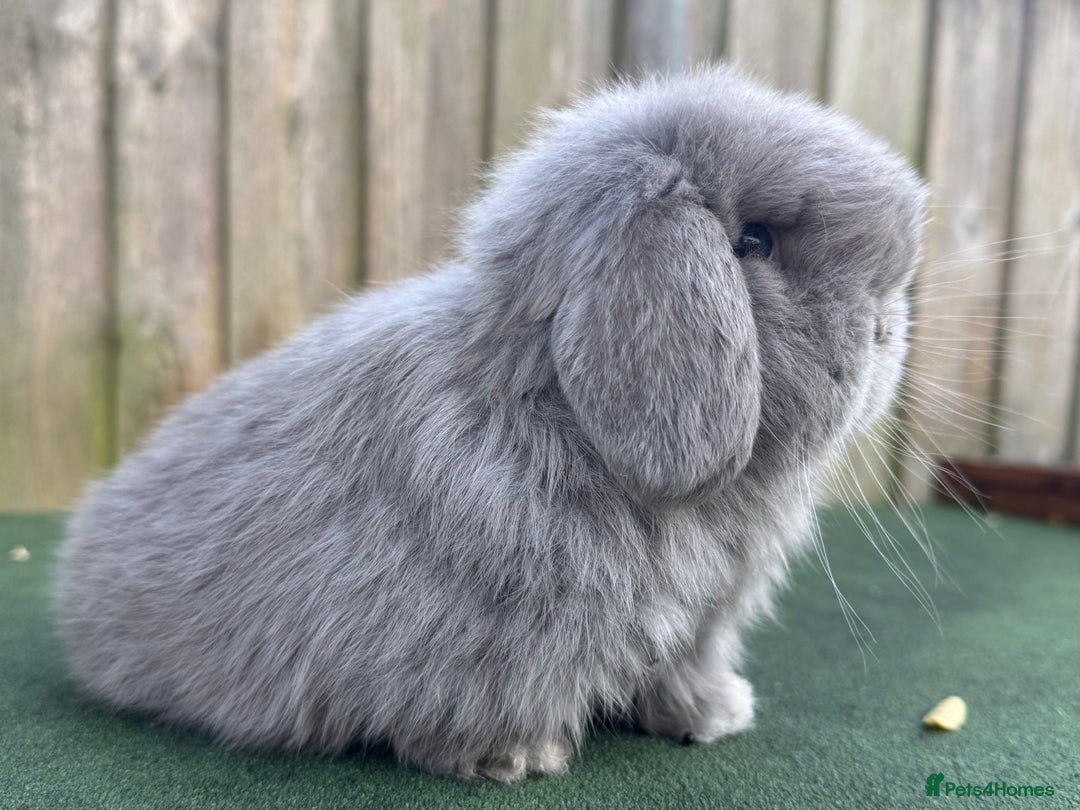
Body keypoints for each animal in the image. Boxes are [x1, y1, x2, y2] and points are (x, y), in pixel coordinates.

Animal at [55, 65, 927, 782]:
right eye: (752, 242)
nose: (887, 331)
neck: (557, 413)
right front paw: (514, 759)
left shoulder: (700, 625)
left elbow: (682, 671)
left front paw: (713, 717)